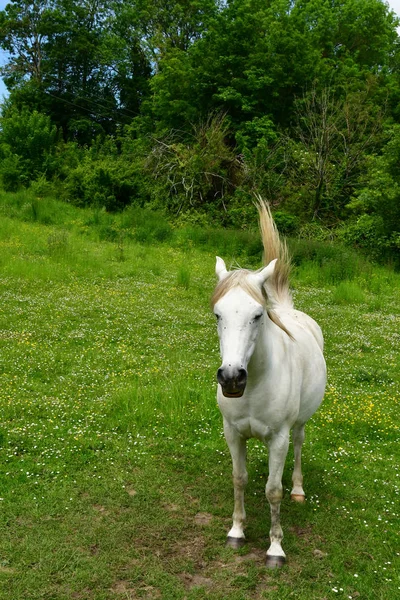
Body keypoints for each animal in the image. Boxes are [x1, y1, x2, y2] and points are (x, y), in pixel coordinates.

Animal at [211, 202, 326, 568]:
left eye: (258, 315)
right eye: (217, 314)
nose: (232, 377)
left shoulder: (279, 437)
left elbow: (273, 491)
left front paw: (275, 548)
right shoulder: (233, 432)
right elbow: (239, 479)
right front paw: (236, 531)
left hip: (299, 425)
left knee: (299, 447)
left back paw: (299, 490)